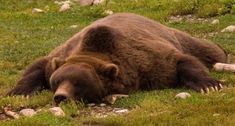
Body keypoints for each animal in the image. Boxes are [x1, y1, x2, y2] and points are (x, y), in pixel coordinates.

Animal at [7, 12, 228, 103]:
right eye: (57, 81)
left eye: (78, 83)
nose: (61, 96)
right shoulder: (62, 54)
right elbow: (38, 65)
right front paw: (18, 92)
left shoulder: (147, 62)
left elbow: (180, 61)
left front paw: (211, 85)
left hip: (179, 36)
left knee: (209, 50)